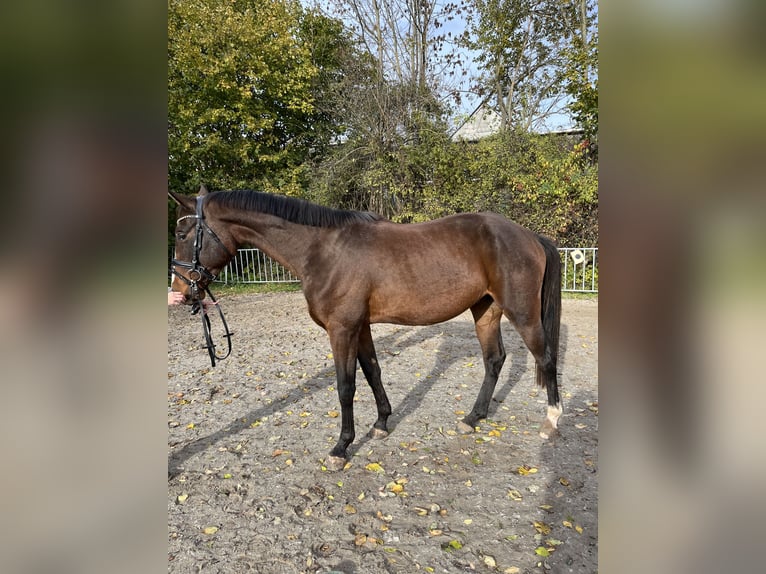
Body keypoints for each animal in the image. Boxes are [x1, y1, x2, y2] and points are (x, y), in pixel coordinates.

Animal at [169, 185, 562, 470]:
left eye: (183, 234)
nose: (182, 292)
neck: (323, 250)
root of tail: (529, 236)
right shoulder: (361, 328)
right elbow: (373, 371)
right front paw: (381, 424)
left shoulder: (341, 328)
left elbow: (346, 386)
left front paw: (341, 447)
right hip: (485, 311)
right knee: (494, 360)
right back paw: (473, 417)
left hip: (523, 314)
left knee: (546, 359)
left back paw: (551, 422)